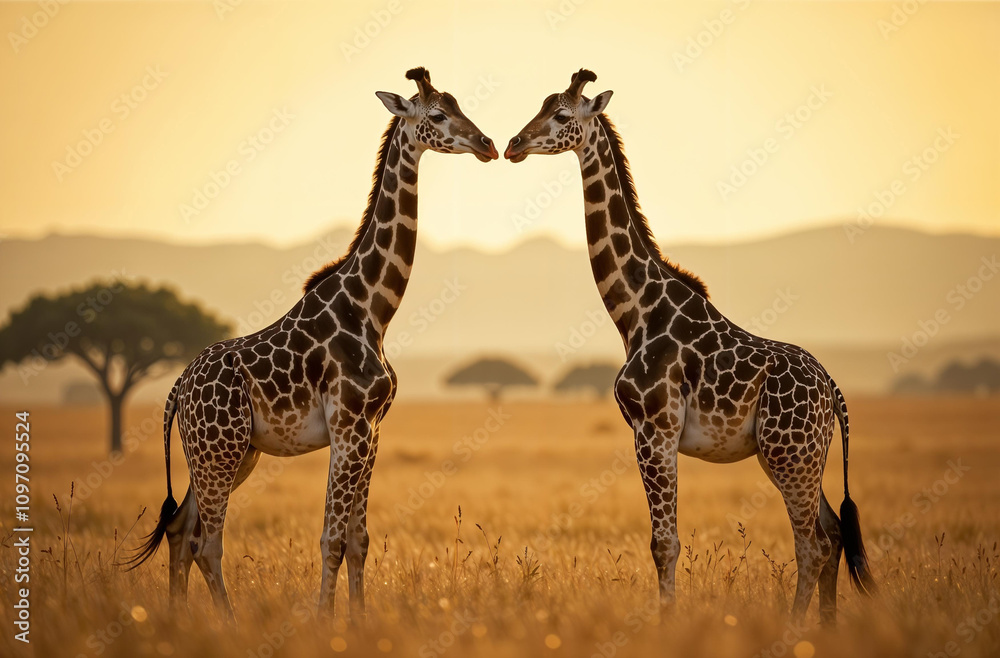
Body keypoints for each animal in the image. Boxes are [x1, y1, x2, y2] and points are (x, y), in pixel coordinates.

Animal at [126, 68, 498, 621]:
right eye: (437, 114)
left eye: (461, 106)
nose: (487, 144)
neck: (372, 310)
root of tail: (176, 391)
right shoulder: (348, 426)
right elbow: (332, 540)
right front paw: (326, 621)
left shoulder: (371, 431)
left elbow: (359, 539)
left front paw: (359, 620)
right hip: (221, 450)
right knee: (206, 541)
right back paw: (229, 624)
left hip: (228, 453)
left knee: (179, 528)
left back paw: (178, 619)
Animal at [505, 69, 875, 625]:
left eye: (563, 115)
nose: (513, 144)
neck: (636, 311)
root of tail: (833, 390)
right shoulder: (652, 433)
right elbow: (665, 541)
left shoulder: (654, 430)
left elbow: (665, 543)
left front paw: (666, 624)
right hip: (801, 455)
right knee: (832, 535)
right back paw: (827, 629)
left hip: (789, 453)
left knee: (812, 543)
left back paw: (794, 630)